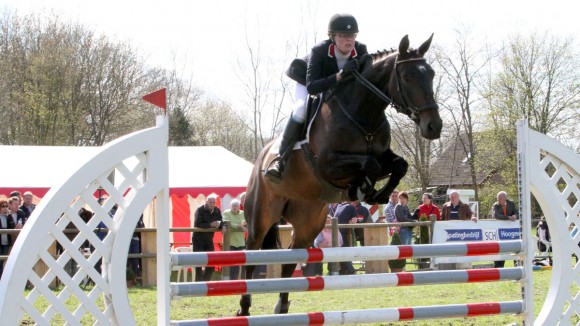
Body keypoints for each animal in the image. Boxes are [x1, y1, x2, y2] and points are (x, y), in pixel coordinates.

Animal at [238, 33, 442, 316]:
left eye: (431, 74)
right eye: (408, 76)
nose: (434, 127)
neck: (362, 114)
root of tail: (261, 157)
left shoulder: (384, 156)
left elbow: (399, 165)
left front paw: (377, 193)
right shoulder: (328, 164)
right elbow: (370, 164)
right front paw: (364, 188)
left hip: (308, 220)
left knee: (291, 257)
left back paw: (282, 306)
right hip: (261, 214)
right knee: (252, 252)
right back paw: (244, 308)